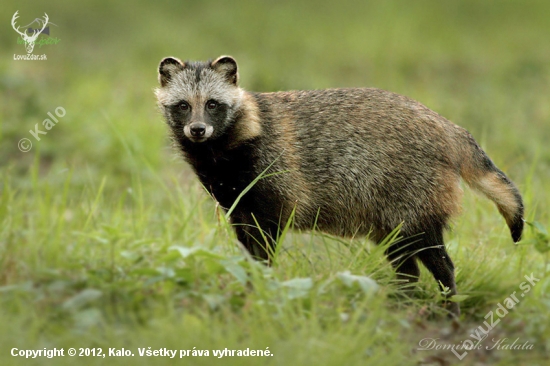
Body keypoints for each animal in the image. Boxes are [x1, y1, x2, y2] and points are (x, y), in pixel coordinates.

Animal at [155, 55, 528, 316]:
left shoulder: (274, 185)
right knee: (405, 266)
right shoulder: (237, 201)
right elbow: (247, 249)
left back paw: (450, 305)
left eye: (213, 104)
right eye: (183, 105)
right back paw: (401, 302)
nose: (198, 129)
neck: (222, 156)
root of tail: (448, 128)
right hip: (388, 217)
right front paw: (249, 283)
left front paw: (261, 287)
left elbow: (265, 247)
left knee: (437, 260)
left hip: (416, 196)